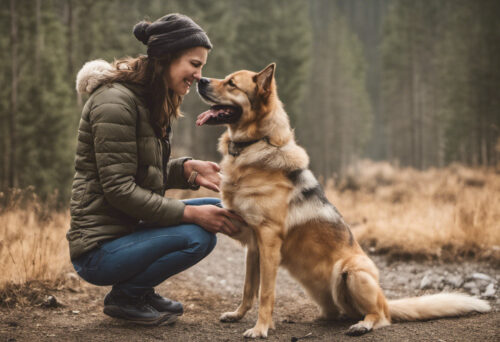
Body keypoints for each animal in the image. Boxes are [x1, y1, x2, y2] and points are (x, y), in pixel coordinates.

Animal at [196, 62, 492, 338]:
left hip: (352, 271)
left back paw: (363, 325)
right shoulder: (253, 245)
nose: (200, 80)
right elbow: (248, 289)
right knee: (342, 312)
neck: (256, 144)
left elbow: (266, 293)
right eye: (226, 78)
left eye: (232, 83)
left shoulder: (268, 241)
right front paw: (238, 315)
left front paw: (260, 328)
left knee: (380, 315)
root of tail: (386, 300)